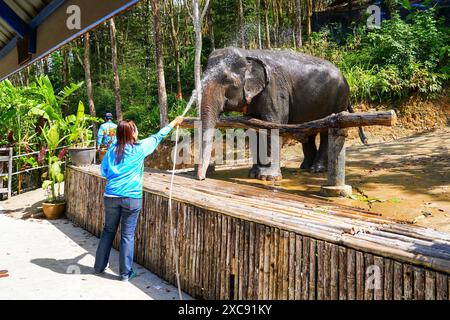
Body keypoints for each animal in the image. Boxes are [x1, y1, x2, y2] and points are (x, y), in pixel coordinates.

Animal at [197, 47, 366, 182]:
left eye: (226, 79)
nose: (201, 178)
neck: (248, 53)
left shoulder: (275, 88)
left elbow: (273, 126)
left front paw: (267, 177)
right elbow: (253, 130)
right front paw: (253, 174)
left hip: (338, 100)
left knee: (326, 132)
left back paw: (316, 169)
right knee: (310, 131)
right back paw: (305, 167)